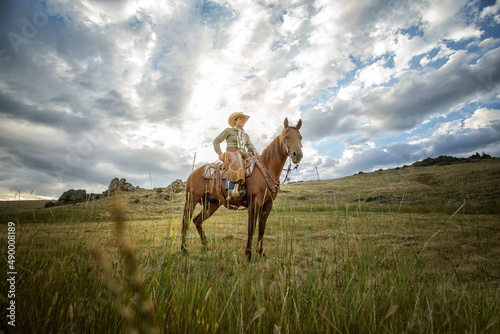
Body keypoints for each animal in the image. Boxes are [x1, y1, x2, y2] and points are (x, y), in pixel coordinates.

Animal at [182, 117, 302, 260]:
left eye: (300, 137)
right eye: (286, 137)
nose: (297, 155)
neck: (267, 168)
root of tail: (192, 174)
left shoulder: (268, 205)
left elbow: (261, 228)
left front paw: (261, 254)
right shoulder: (254, 202)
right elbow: (251, 227)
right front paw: (248, 255)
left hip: (212, 204)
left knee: (197, 221)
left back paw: (204, 246)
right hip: (192, 200)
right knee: (185, 221)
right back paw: (184, 250)